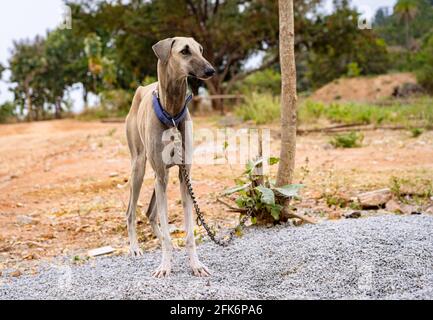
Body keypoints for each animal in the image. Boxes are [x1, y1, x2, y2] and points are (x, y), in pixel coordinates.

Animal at [124, 37, 215, 278]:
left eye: (200, 50)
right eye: (185, 51)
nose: (211, 70)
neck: (172, 113)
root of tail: (141, 88)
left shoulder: (184, 176)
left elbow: (189, 232)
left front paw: (196, 265)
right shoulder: (161, 175)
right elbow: (166, 230)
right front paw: (165, 266)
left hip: (159, 177)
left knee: (149, 213)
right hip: (140, 168)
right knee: (130, 212)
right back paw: (135, 248)